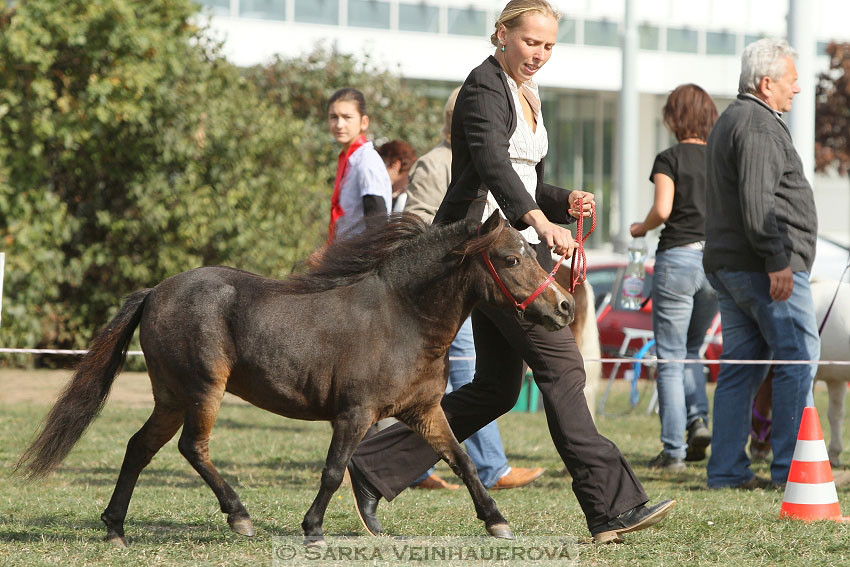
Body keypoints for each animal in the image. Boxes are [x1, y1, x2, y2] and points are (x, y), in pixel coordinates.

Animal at [14, 212, 568, 544]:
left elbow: (461, 460)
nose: (563, 306)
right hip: (202, 390)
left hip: (170, 395)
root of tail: (155, 292)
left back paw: (115, 527)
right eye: (511, 258)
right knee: (192, 448)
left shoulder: (424, 411)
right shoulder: (354, 413)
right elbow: (333, 470)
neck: (403, 317)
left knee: (139, 447)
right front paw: (314, 529)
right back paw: (238, 516)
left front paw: (497, 521)